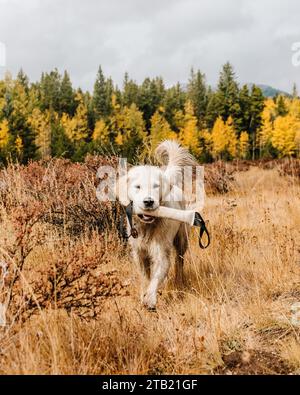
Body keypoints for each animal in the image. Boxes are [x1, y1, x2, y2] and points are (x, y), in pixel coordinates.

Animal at [118, 141, 199, 310]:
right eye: (137, 187)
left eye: (156, 186)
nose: (148, 202)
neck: (147, 226)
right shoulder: (139, 253)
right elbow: (145, 277)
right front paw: (144, 295)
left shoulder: (161, 252)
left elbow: (155, 278)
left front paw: (150, 299)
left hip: (182, 239)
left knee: (179, 261)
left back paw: (179, 281)